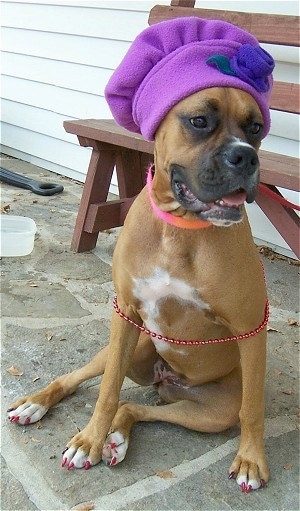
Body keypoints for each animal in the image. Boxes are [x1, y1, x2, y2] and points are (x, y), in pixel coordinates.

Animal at [7, 18, 274, 494]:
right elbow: (108, 389)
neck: (180, 231)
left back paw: (118, 437)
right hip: (130, 347)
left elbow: (253, 410)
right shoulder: (125, 315)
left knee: (137, 409)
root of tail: (169, 382)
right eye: (199, 121)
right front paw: (88, 441)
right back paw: (38, 405)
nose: (245, 156)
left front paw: (250, 460)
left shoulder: (250, 330)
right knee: (79, 380)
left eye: (257, 127)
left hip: (209, 412)